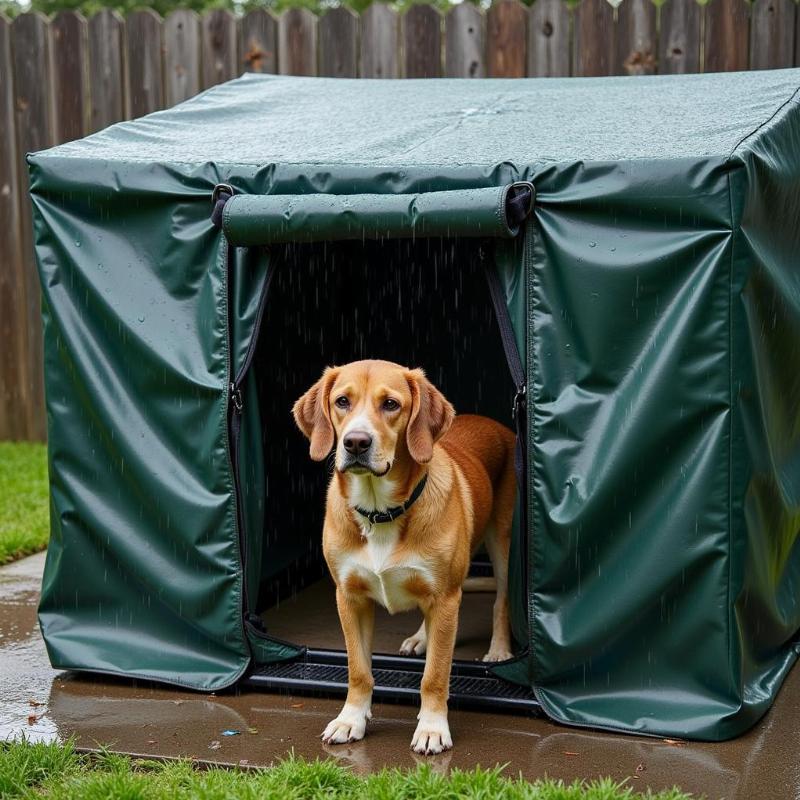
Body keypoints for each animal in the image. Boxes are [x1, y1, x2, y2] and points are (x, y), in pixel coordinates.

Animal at [290, 360, 516, 752]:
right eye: (342, 401)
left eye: (391, 404)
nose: (356, 442)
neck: (379, 511)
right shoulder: (349, 598)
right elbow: (358, 670)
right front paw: (351, 719)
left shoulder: (445, 597)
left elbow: (435, 675)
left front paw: (432, 727)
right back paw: (421, 638)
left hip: (500, 541)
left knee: (500, 600)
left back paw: (500, 649)